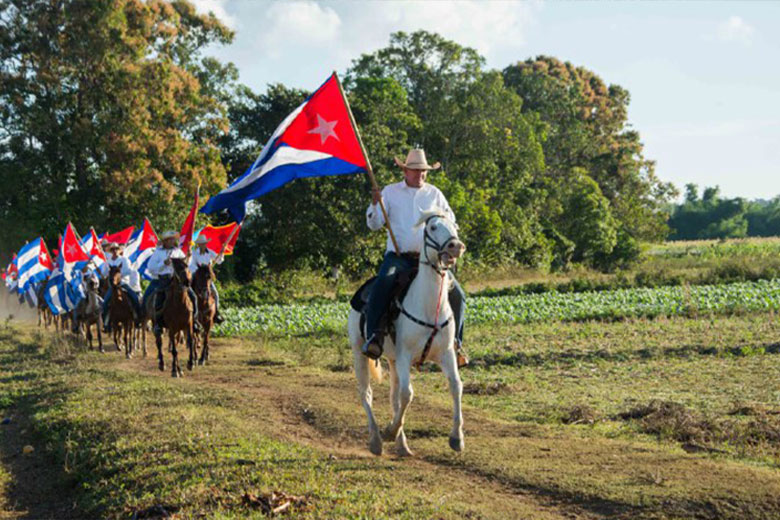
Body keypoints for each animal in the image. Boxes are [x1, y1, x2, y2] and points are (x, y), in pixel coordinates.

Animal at [350, 207, 466, 456]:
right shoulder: (405, 356)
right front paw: (389, 431)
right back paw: (376, 440)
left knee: (393, 397)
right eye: (432, 227)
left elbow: (456, 386)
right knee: (367, 394)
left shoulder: (446, 354)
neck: (429, 306)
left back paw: (402, 446)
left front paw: (456, 438)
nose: (455, 246)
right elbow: (408, 394)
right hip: (359, 352)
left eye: (454, 226)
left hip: (392, 360)